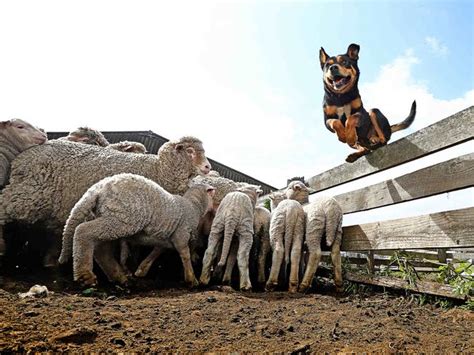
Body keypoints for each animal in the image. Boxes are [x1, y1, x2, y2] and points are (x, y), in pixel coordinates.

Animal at [0, 136, 211, 268]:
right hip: (28, 194)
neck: (159, 169)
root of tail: (21, 158)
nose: (208, 167)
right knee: (4, 207)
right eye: (190, 151)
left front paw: (128, 262)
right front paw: (126, 261)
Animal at [58, 174, 216, 288]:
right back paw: (85, 276)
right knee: (83, 231)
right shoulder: (181, 234)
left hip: (110, 219)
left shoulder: (166, 237)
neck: (193, 205)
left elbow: (156, 251)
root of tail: (99, 188)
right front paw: (191, 279)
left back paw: (120, 277)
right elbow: (185, 254)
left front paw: (141, 270)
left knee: (101, 250)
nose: (215, 209)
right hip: (120, 220)